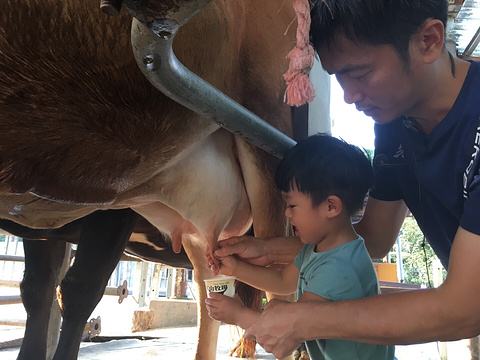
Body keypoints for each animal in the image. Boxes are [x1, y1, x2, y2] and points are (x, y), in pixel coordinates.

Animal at [0, 0, 326, 358]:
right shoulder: (44, 229)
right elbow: (36, 291)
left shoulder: (111, 211)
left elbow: (78, 290)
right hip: (202, 234)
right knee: (210, 296)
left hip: (267, 149)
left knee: (284, 296)